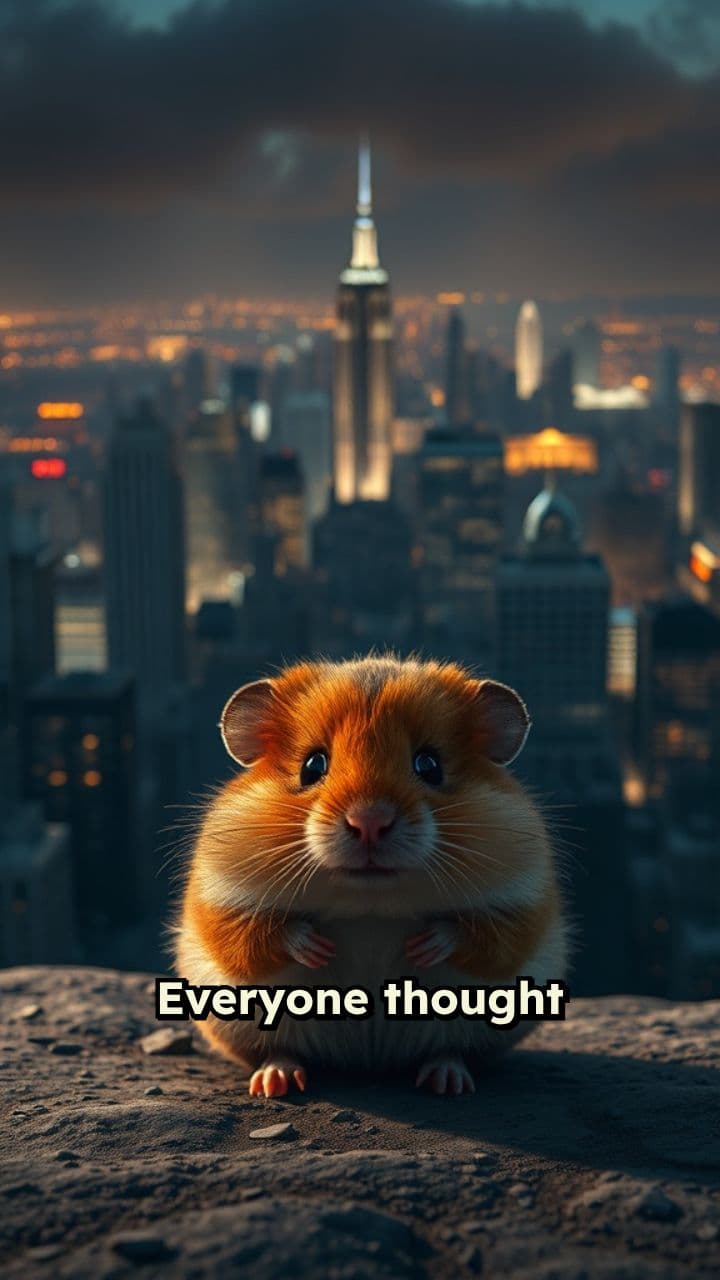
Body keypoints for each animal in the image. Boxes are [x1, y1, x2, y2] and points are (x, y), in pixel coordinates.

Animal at [175, 655, 567, 1096]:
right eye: (313, 766)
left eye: (429, 765)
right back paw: (276, 1082)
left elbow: (481, 936)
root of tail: (369, 1062)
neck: (369, 901)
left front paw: (422, 947)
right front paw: (319, 949)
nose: (369, 822)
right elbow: (256, 937)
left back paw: (446, 1081)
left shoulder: (523, 904)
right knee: (277, 1050)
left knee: (452, 1050)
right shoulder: (221, 900)